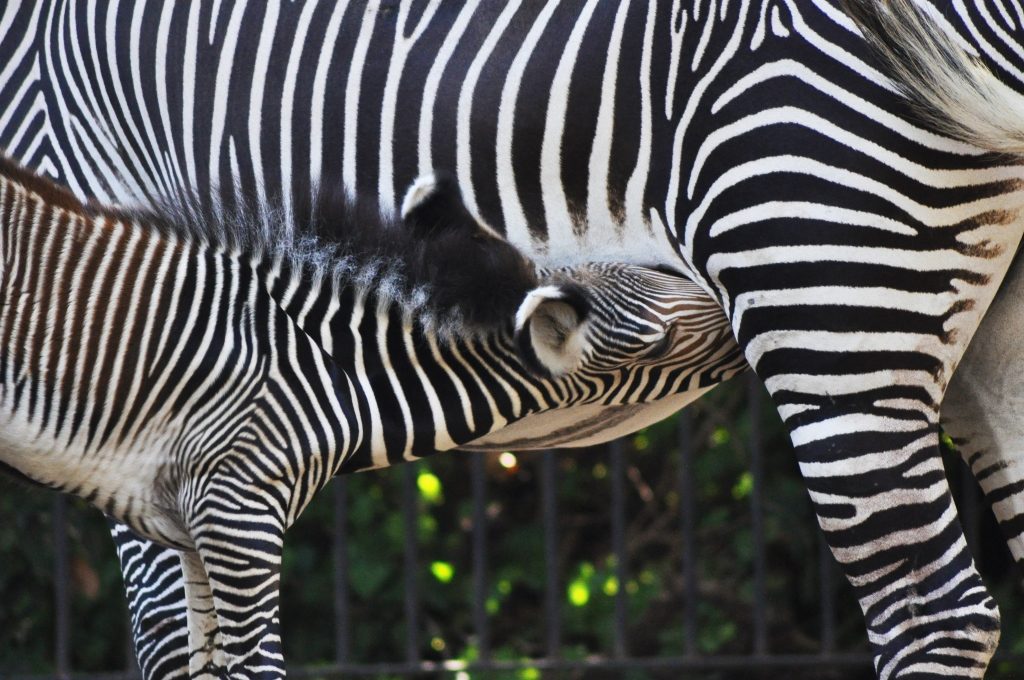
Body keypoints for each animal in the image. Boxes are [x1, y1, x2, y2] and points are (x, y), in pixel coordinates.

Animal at [0, 155, 744, 677]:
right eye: (661, 342)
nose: (746, 320)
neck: (322, 370)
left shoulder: (188, 529)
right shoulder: (237, 509)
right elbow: (258, 669)